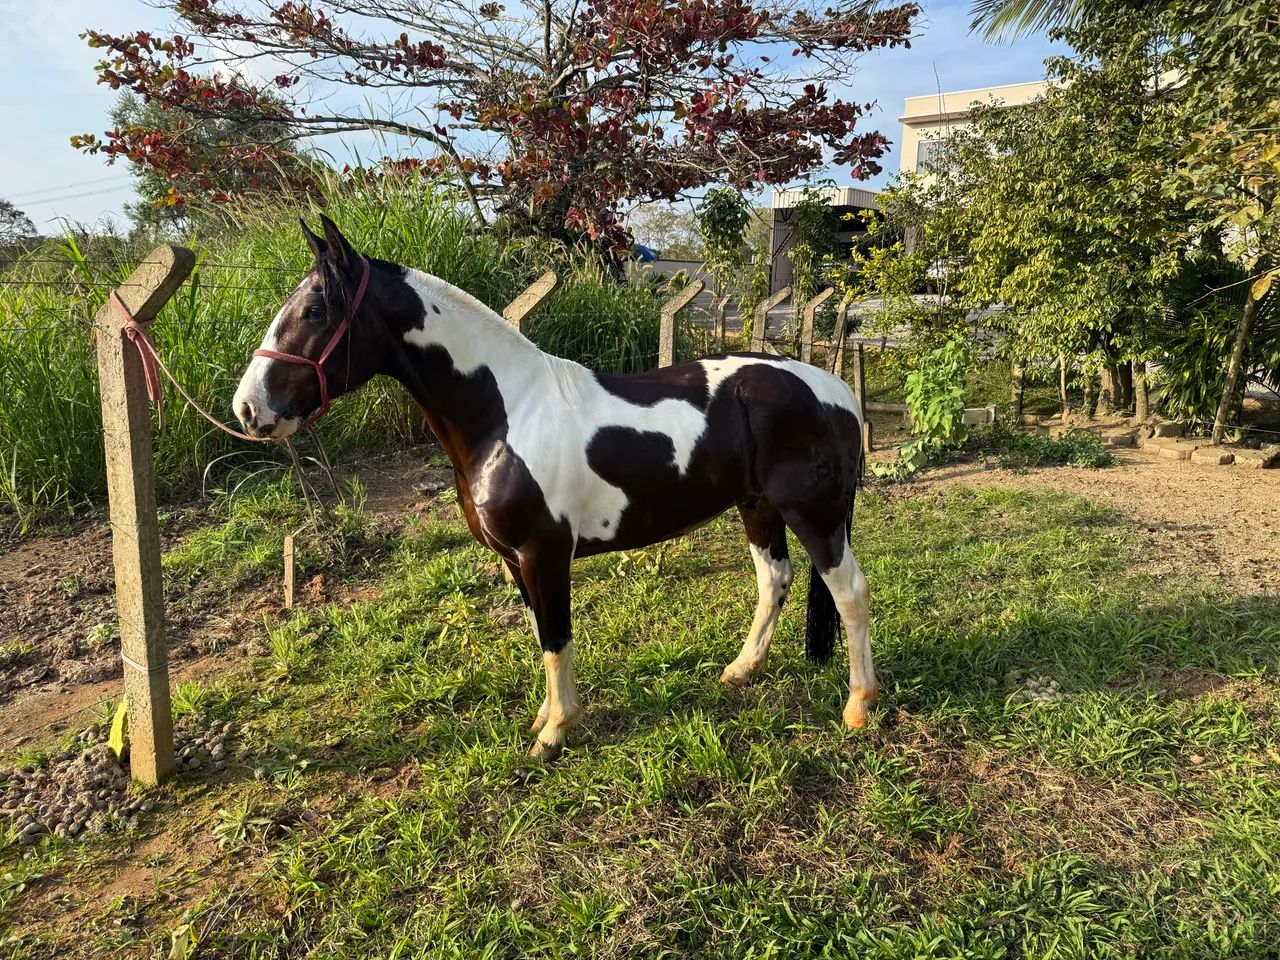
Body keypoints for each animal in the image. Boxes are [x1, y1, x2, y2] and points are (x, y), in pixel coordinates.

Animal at [233, 216, 875, 759]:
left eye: (315, 310)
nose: (248, 409)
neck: (507, 412)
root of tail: (833, 390)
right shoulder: (516, 560)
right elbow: (542, 633)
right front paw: (547, 719)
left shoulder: (543, 554)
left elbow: (556, 638)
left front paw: (556, 733)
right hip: (758, 508)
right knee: (775, 580)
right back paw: (741, 670)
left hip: (814, 516)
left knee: (849, 592)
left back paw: (859, 708)